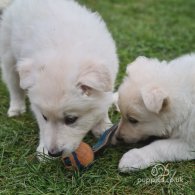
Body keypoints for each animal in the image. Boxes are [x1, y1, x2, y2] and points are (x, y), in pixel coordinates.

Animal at [0, 0, 118, 158]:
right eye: (45, 117)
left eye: (71, 119)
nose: (54, 153)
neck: (66, 52)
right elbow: (43, 127)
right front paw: (43, 150)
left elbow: (103, 106)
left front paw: (104, 126)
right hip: (9, 57)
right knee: (14, 87)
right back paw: (16, 108)